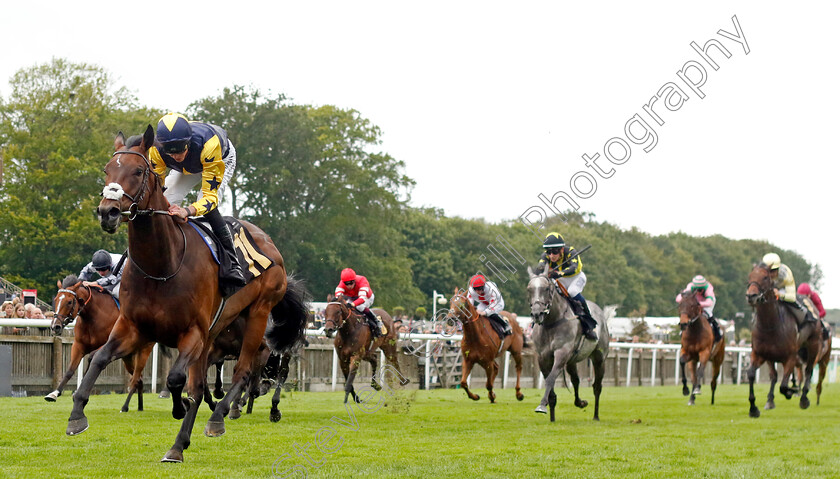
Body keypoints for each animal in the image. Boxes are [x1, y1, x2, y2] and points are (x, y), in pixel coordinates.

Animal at [46, 276, 156, 414]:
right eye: (56, 299)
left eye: (70, 302)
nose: (55, 326)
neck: (94, 316)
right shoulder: (78, 346)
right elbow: (70, 370)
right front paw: (54, 393)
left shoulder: (107, 345)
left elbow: (91, 359)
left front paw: (78, 391)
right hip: (128, 356)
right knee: (139, 378)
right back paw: (140, 407)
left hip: (144, 351)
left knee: (136, 379)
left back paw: (125, 407)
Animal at [65, 125, 308, 464]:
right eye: (107, 169)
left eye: (138, 170)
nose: (107, 212)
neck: (162, 264)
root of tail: (270, 244)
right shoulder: (134, 327)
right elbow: (99, 358)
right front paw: (76, 414)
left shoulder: (192, 332)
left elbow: (176, 380)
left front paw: (179, 409)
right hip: (215, 331)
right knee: (203, 383)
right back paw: (181, 443)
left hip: (258, 314)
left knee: (243, 372)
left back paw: (216, 419)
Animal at [524, 268, 612, 422]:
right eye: (529, 289)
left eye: (546, 289)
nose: (536, 314)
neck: (551, 322)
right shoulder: (543, 358)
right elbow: (551, 382)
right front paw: (551, 416)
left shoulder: (562, 353)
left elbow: (550, 379)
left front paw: (541, 406)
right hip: (572, 360)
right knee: (576, 380)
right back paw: (580, 402)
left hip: (599, 358)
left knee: (597, 386)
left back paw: (596, 416)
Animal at [744, 264, 816, 418]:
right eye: (750, 276)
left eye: (765, 277)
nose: (751, 296)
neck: (770, 325)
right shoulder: (759, 354)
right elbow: (752, 374)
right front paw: (753, 408)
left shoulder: (790, 357)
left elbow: (783, 386)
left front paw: (791, 391)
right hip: (772, 357)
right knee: (774, 376)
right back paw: (770, 401)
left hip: (814, 345)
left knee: (808, 370)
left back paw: (804, 398)